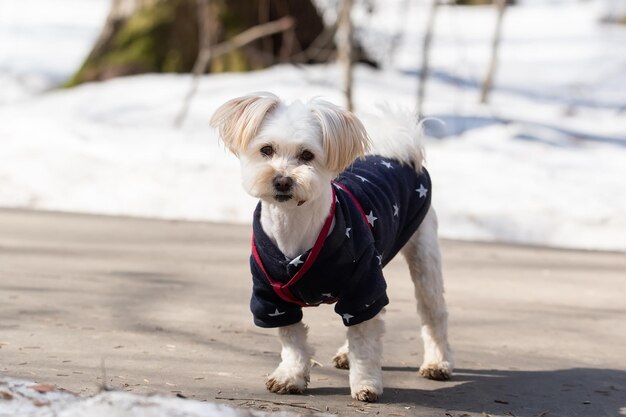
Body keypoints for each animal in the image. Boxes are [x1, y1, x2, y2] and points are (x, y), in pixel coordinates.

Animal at [208, 92, 448, 402]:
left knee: (431, 312)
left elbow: (364, 341)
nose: (282, 180)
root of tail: (398, 155)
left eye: (307, 155)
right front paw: (290, 376)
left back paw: (437, 362)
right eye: (266, 150)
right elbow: (293, 339)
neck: (294, 224)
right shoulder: (270, 297)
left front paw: (366, 382)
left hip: (421, 252)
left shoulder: (361, 284)